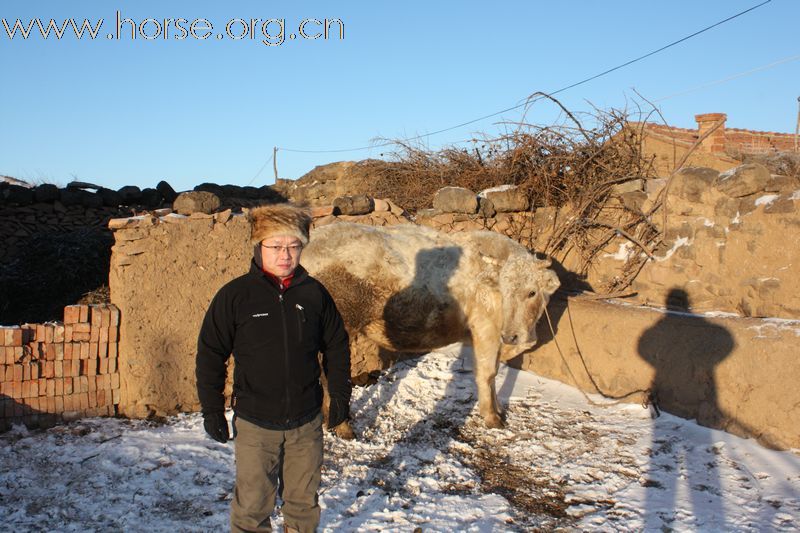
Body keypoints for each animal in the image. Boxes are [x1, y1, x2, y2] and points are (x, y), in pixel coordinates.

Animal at [302, 221, 564, 432]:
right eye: (504, 291)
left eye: (532, 292)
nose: (511, 336)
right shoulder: (486, 330)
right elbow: (487, 374)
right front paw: (492, 417)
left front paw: (498, 409)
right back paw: (341, 425)